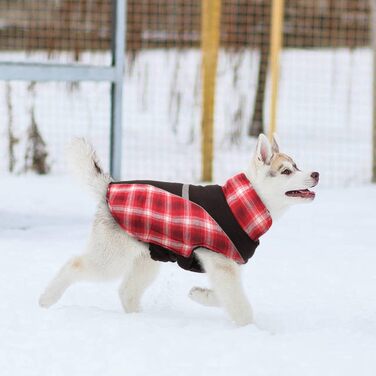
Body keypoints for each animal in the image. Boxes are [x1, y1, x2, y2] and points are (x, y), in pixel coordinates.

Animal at [39, 134, 318, 326]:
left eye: (298, 166)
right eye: (286, 171)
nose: (315, 173)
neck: (247, 201)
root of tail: (109, 187)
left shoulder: (226, 268)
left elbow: (225, 296)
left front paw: (200, 295)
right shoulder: (222, 265)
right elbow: (241, 306)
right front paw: (252, 330)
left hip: (147, 259)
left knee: (127, 291)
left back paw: (138, 320)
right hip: (111, 258)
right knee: (74, 265)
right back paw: (46, 299)